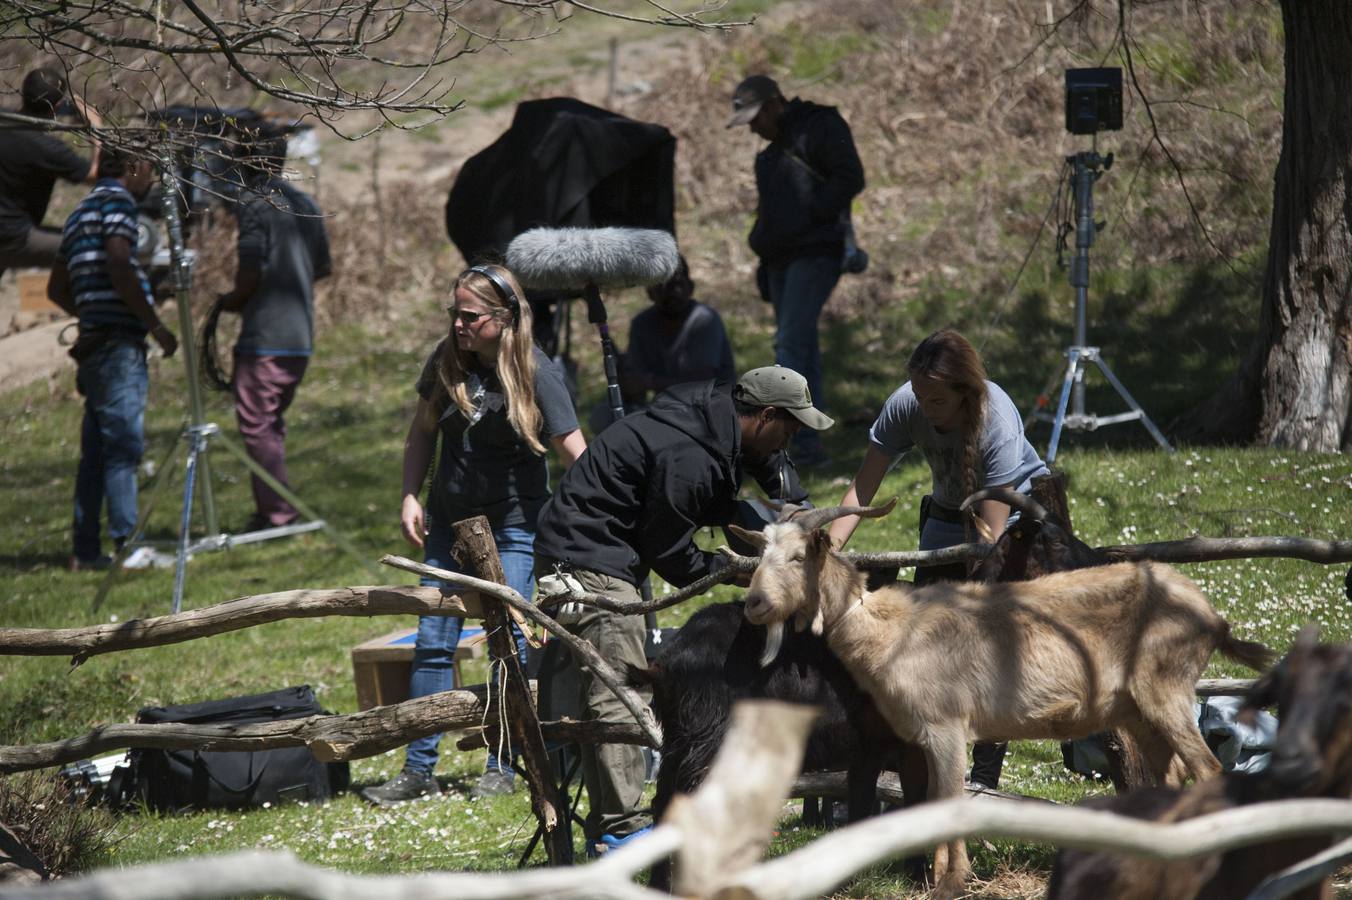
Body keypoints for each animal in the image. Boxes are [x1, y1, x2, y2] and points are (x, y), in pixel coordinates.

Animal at [735, 500, 1270, 891]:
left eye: (799, 557)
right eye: (760, 557)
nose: (754, 604)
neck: (891, 630)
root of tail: (1212, 616)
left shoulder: (946, 727)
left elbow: (948, 800)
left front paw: (952, 882)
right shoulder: (919, 738)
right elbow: (930, 802)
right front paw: (940, 877)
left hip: (1166, 688)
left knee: (1209, 770)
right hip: (1139, 710)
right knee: (1170, 778)